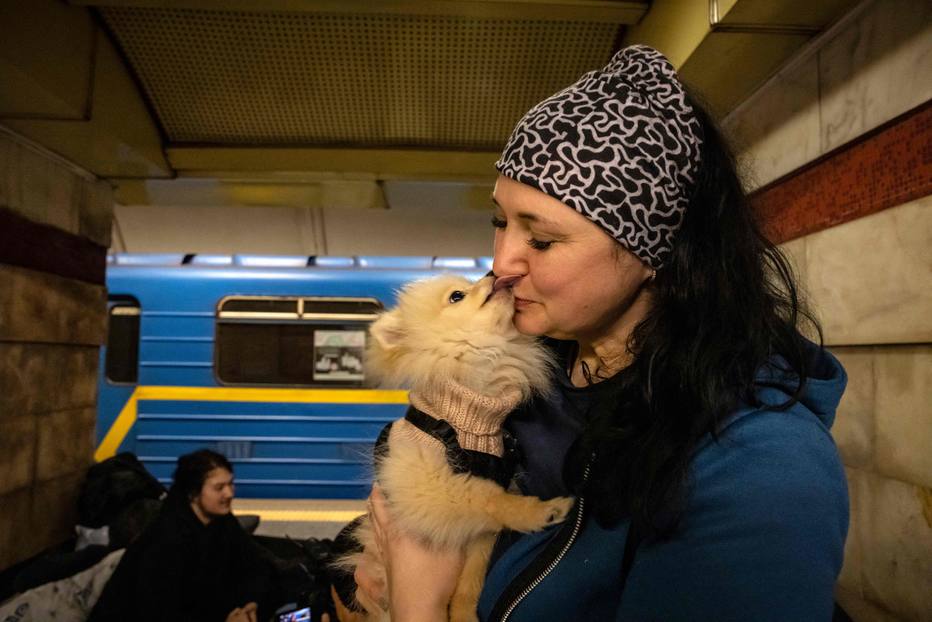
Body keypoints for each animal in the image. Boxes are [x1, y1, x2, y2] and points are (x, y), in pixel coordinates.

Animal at [346, 276, 572, 622]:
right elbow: (487, 499)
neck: (472, 413)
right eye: (457, 296)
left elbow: (472, 578)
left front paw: (464, 613)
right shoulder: (428, 484)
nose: (493, 274)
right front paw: (538, 511)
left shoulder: (481, 532)